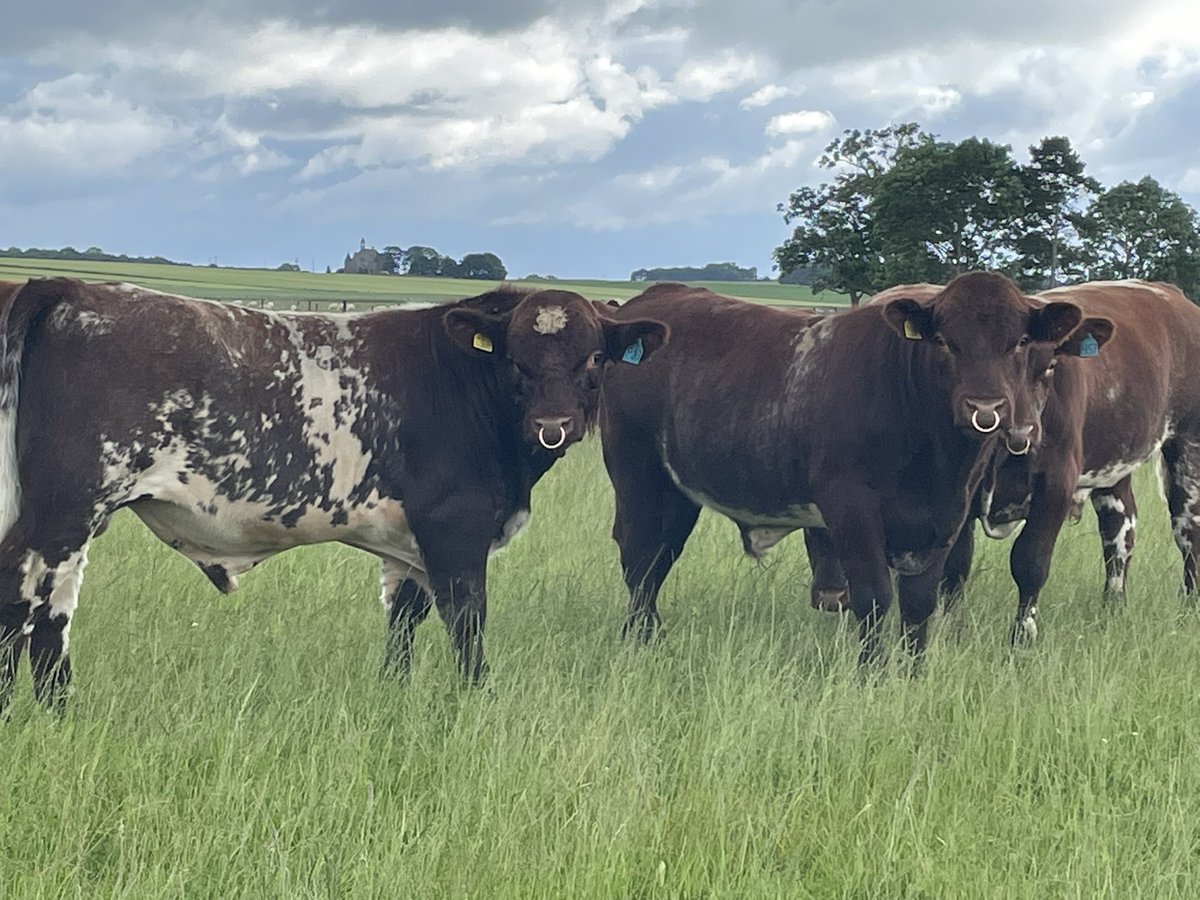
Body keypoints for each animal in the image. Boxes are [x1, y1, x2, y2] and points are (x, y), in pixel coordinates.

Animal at [0, 278, 668, 708]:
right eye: (515, 359)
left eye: (596, 356)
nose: (554, 425)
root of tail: (73, 290)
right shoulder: (455, 526)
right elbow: (466, 618)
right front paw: (477, 697)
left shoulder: (409, 541)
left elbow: (404, 620)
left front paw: (394, 697)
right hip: (66, 512)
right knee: (35, 608)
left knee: (32, 607)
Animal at [598, 273, 1098, 664]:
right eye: (943, 341)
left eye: (1021, 342)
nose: (985, 407)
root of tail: (660, 297)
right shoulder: (851, 508)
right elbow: (874, 598)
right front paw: (872, 674)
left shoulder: (947, 519)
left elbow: (919, 603)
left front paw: (914, 674)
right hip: (638, 472)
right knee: (641, 557)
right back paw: (641, 642)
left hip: (677, 491)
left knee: (659, 557)